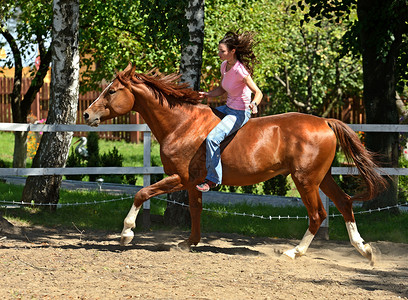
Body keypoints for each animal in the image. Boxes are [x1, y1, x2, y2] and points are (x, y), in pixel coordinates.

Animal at [83, 63, 386, 262]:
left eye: (112, 91)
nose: (86, 114)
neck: (182, 125)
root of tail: (325, 121)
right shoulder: (194, 182)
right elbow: (196, 210)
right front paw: (189, 243)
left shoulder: (180, 178)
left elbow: (142, 192)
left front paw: (126, 233)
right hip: (322, 177)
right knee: (344, 203)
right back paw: (365, 250)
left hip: (305, 180)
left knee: (318, 215)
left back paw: (293, 251)